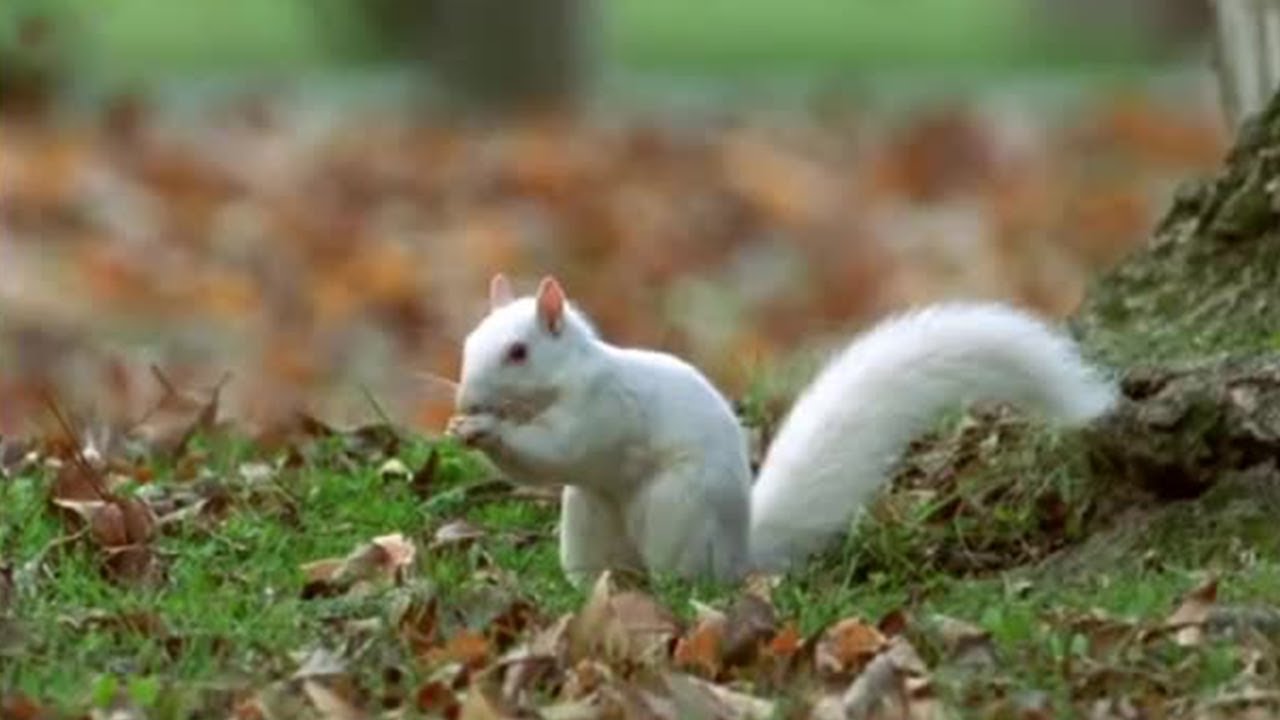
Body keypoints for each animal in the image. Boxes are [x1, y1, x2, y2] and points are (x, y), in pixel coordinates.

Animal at [446, 273, 1117, 585]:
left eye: (517, 352)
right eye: (467, 341)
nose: (465, 397)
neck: (565, 378)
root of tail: (740, 552)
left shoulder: (601, 407)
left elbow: (561, 448)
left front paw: (485, 431)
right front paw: (465, 425)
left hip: (673, 512)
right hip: (586, 521)